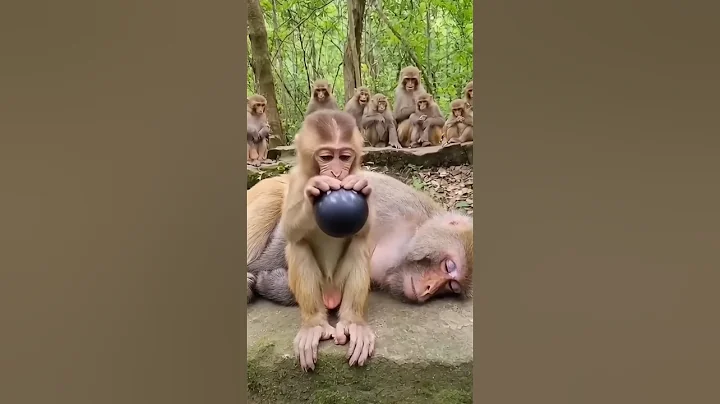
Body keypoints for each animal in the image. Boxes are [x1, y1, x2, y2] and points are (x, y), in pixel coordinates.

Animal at [247, 171, 473, 308]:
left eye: (452, 287)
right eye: (449, 266)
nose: (429, 289)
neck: (409, 235)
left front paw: (271, 284)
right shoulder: (390, 204)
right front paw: (258, 271)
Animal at [279, 109, 376, 372]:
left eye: (344, 157)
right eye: (326, 157)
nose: (336, 173)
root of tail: (331, 294)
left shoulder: (360, 173)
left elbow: (365, 232)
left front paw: (360, 188)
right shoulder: (295, 179)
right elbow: (289, 229)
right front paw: (314, 190)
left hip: (340, 285)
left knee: (360, 245)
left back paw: (353, 322)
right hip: (320, 288)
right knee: (298, 246)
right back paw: (314, 325)